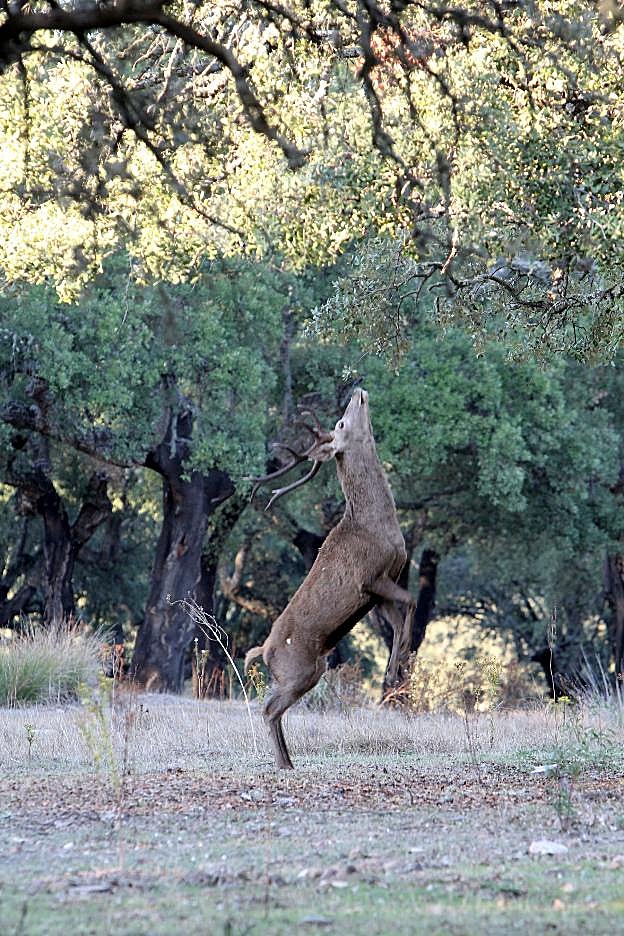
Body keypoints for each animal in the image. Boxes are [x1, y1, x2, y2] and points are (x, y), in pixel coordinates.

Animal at [245, 388, 415, 769]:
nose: (358, 390)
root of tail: (264, 650)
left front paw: (394, 671)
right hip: (298, 671)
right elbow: (411, 603)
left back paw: (289, 761)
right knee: (268, 708)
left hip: (313, 670)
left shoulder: (379, 591)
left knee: (273, 709)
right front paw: (398, 665)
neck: (375, 526)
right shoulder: (370, 578)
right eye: (340, 422)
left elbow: (398, 621)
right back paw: (284, 763)